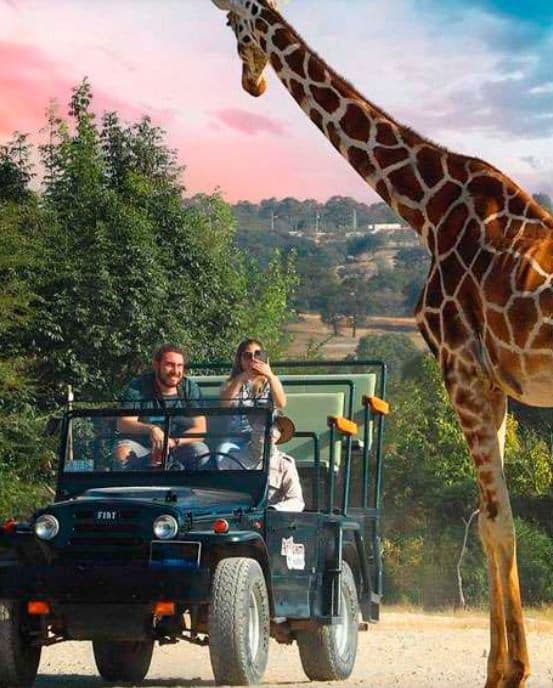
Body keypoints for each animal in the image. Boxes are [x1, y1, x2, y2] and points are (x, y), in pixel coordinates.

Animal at [210, 1, 553, 686]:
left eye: (234, 28)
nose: (250, 85)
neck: (427, 205)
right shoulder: (495, 383)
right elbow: (496, 521)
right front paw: (506, 666)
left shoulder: (460, 365)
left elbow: (495, 525)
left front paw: (505, 672)